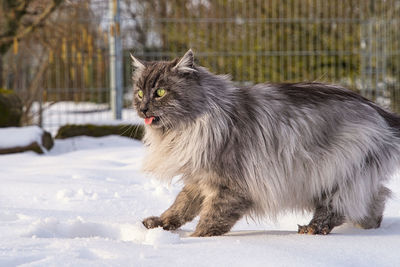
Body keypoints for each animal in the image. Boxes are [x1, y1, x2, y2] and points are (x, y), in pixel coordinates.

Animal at [132, 49, 400, 237]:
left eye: (160, 93)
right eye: (139, 93)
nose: (142, 108)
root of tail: (381, 112)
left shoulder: (231, 187)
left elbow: (210, 220)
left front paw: (193, 241)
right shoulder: (200, 177)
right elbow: (180, 206)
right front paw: (160, 225)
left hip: (335, 173)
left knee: (339, 207)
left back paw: (314, 228)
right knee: (376, 199)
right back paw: (370, 226)